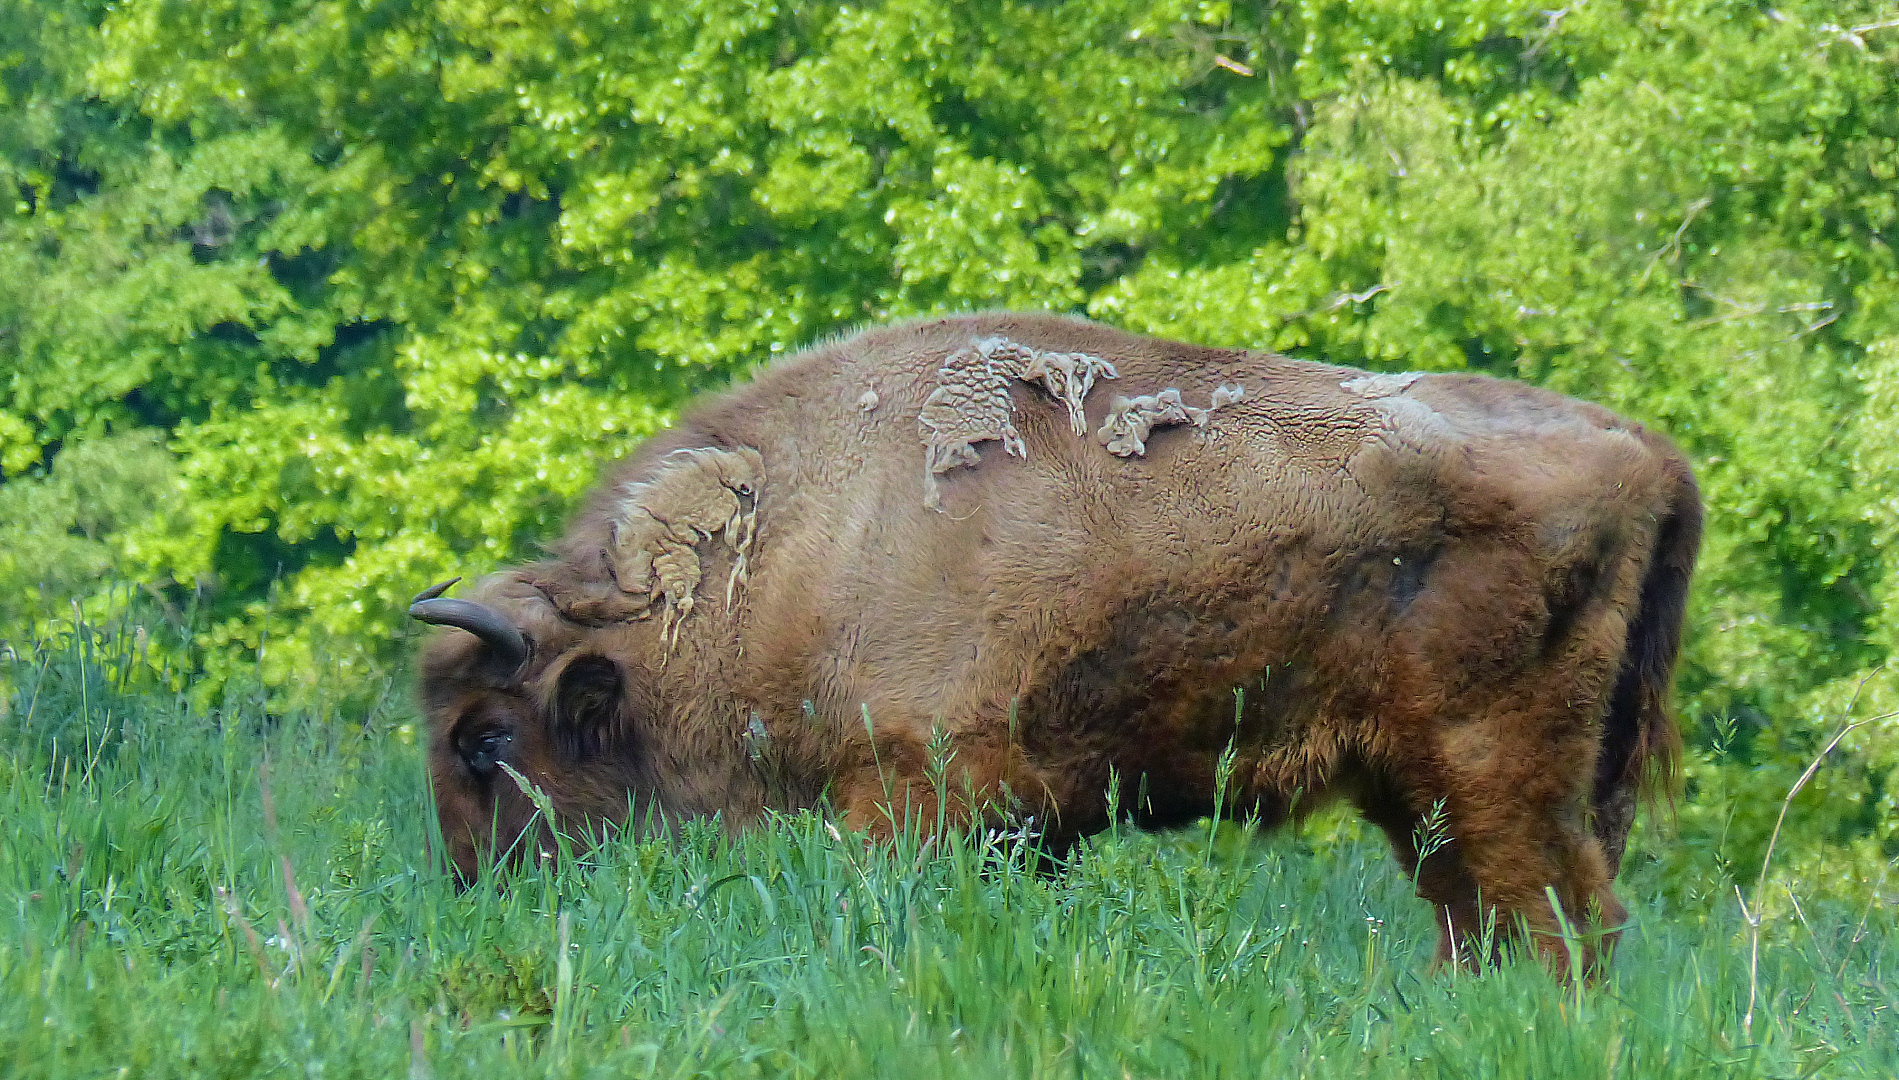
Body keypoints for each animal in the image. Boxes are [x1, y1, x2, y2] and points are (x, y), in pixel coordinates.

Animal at [412, 311, 1693, 968]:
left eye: (488, 739)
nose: (472, 894)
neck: (787, 539)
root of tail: (1651, 453)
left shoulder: (919, 792)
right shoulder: (1030, 820)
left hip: (1492, 771)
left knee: (1555, 920)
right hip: (1435, 793)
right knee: (1490, 918)